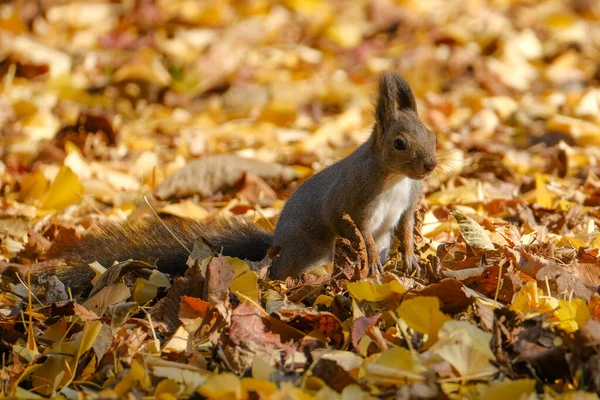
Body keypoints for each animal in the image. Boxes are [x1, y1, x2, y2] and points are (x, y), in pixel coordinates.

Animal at [50, 71, 436, 278]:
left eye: (432, 135)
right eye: (399, 144)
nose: (431, 165)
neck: (393, 180)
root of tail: (275, 246)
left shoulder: (407, 202)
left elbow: (405, 228)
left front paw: (411, 257)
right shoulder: (353, 200)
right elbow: (357, 230)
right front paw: (370, 258)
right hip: (310, 249)